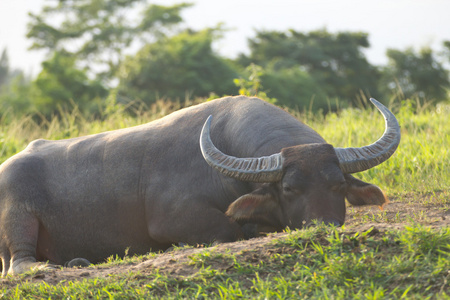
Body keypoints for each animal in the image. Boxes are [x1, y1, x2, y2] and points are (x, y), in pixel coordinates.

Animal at [0, 95, 400, 276]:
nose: (322, 228)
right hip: (17, 217)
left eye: (338, 185)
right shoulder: (175, 220)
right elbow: (230, 231)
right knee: (18, 263)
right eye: (290, 188)